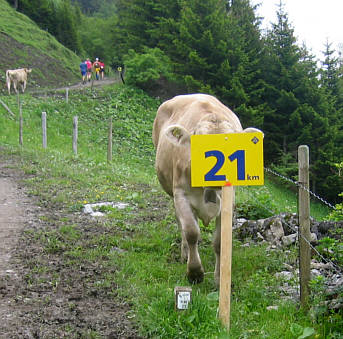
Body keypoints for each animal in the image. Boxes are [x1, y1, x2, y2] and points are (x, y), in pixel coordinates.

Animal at [153, 94, 264, 286]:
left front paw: (219, 277)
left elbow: (220, 241)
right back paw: (185, 254)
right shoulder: (180, 194)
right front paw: (194, 272)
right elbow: (191, 231)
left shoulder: (229, 202)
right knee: (182, 225)